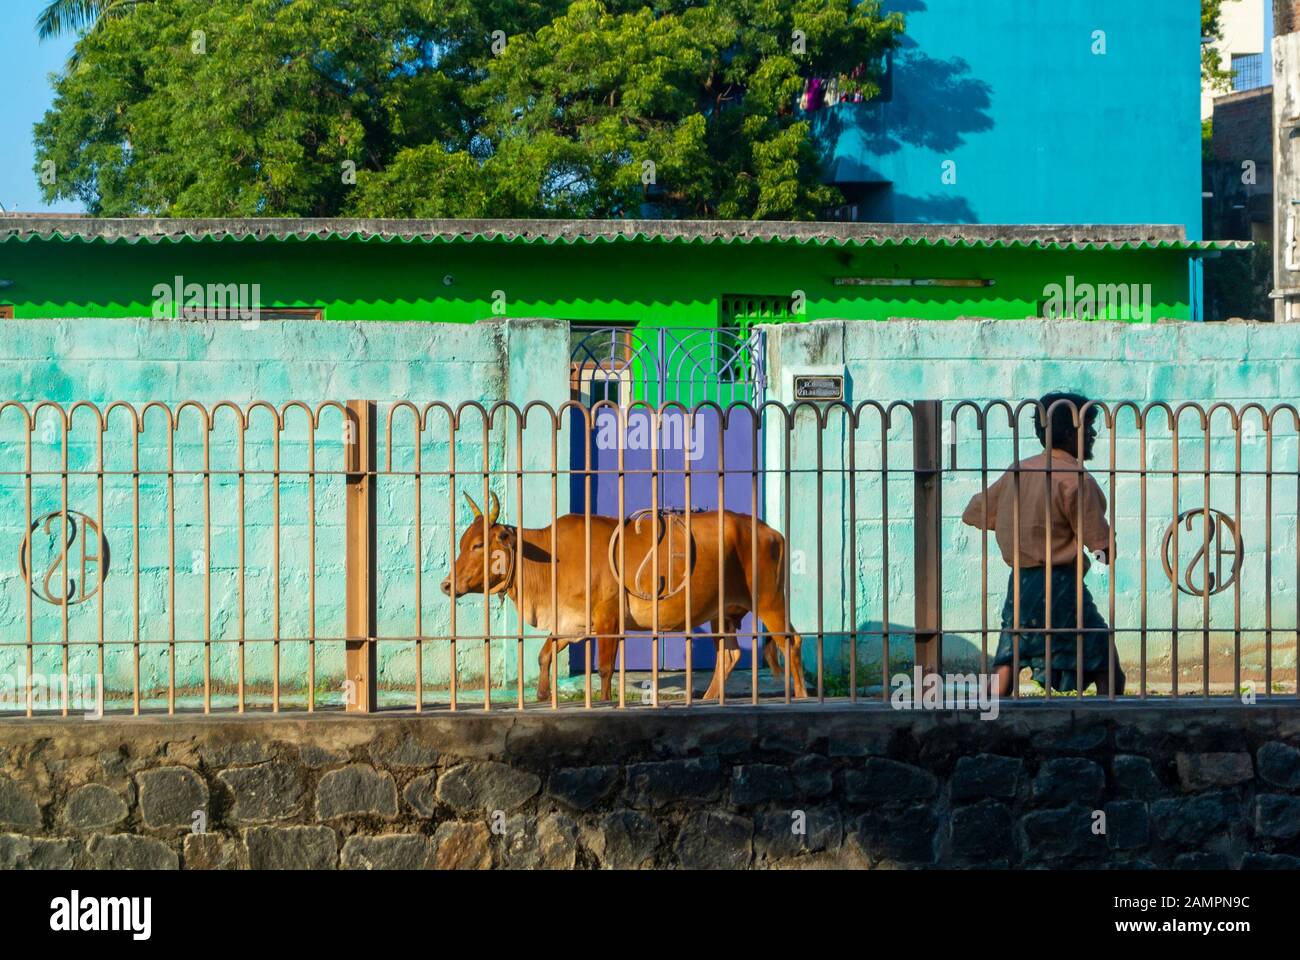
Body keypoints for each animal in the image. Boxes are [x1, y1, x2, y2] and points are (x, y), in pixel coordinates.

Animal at [441, 489, 806, 697]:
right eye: (461, 543)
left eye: (478, 545)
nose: (446, 585)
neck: (549, 557)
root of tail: (770, 530)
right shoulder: (572, 622)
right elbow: (545, 655)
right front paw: (543, 695)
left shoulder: (607, 620)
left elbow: (604, 670)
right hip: (721, 614)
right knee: (729, 656)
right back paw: (707, 700)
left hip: (770, 602)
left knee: (791, 642)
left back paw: (801, 697)